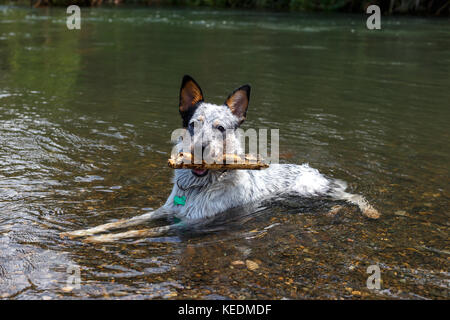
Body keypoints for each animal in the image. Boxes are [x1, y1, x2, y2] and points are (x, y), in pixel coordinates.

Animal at [62, 76, 380, 244]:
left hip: (311, 193)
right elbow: (126, 220)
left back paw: (369, 210)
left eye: (221, 128)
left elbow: (138, 230)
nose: (200, 150)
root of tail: (310, 169)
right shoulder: (165, 210)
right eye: (193, 124)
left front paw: (97, 240)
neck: (196, 190)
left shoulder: (191, 224)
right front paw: (82, 232)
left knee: (349, 196)